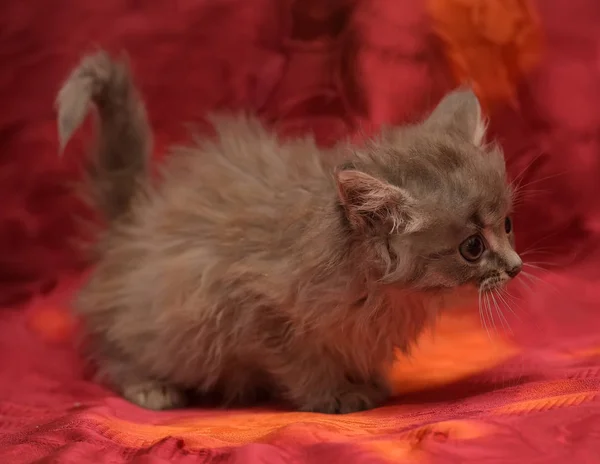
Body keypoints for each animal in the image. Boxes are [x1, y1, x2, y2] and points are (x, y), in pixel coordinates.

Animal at [58, 50, 524, 414]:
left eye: (507, 225)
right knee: (110, 348)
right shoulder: (252, 307)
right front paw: (335, 395)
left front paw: (368, 381)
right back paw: (150, 386)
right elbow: (304, 365)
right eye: (472, 247)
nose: (517, 267)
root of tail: (134, 214)